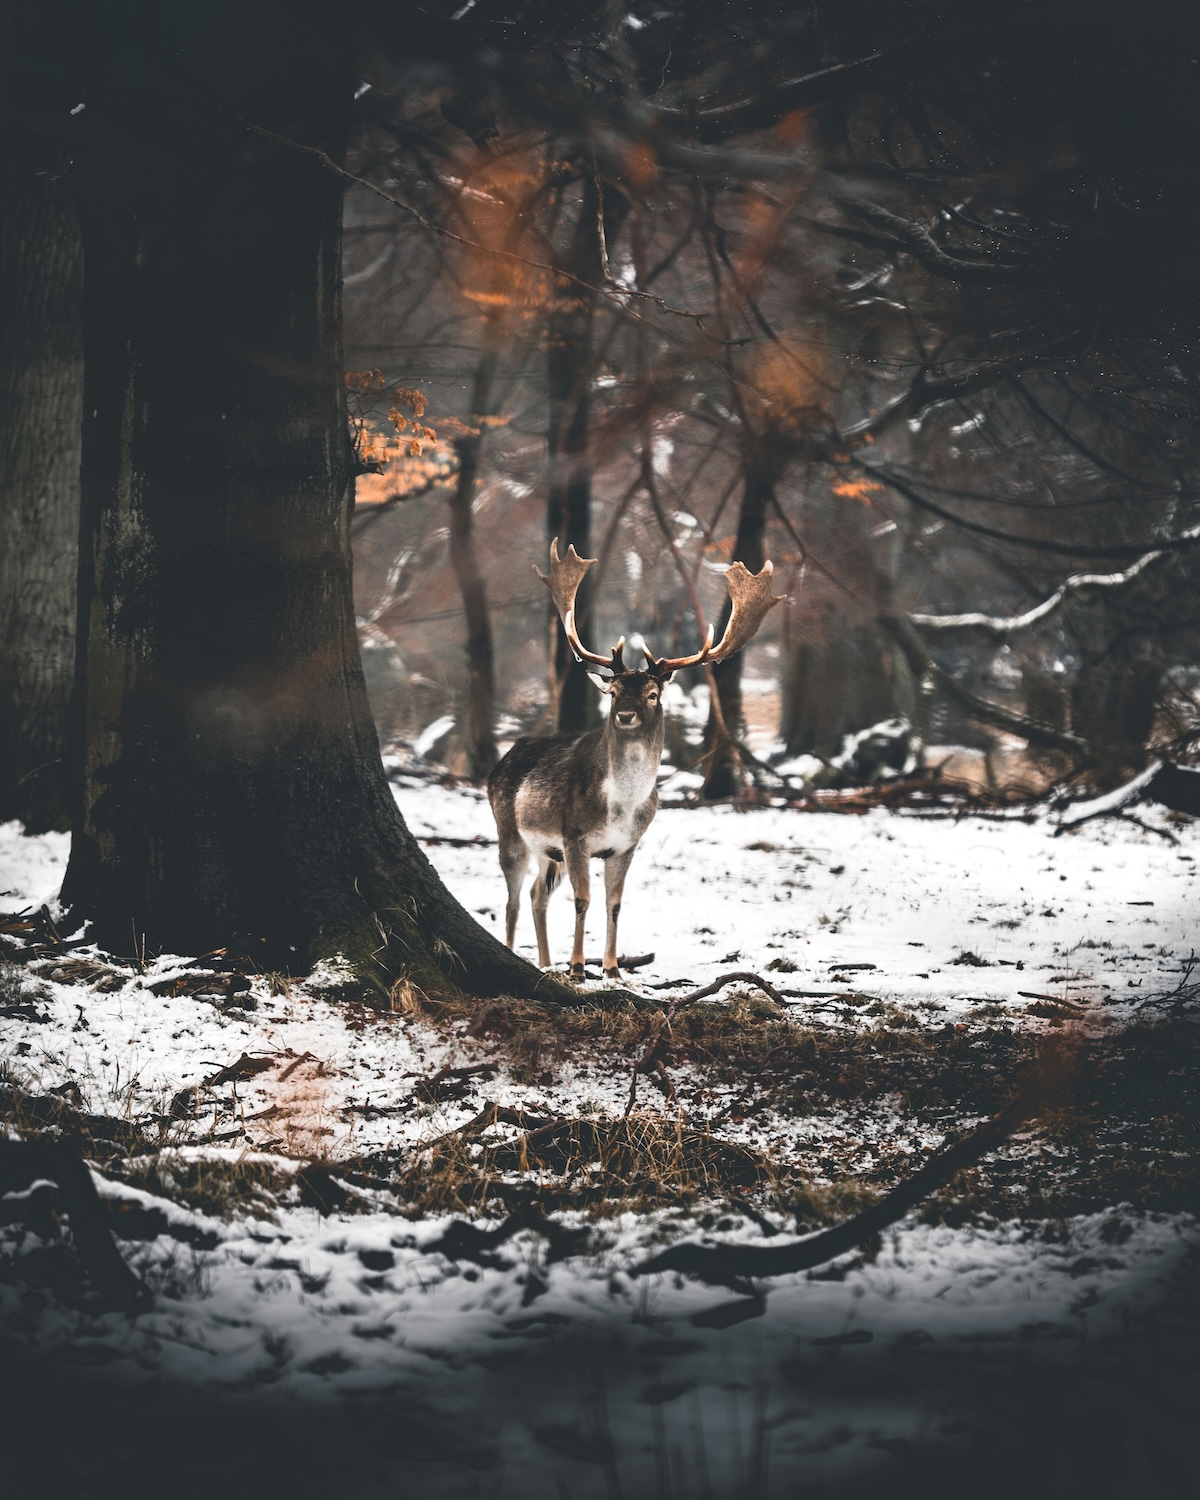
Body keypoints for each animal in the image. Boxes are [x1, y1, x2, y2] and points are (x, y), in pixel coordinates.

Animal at [487, 539, 782, 980]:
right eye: (612, 693)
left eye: (652, 694)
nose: (625, 715)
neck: (622, 805)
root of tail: (502, 759)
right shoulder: (575, 836)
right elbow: (583, 899)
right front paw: (579, 966)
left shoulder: (626, 846)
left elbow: (614, 903)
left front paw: (611, 967)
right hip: (510, 830)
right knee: (512, 898)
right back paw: (516, 953)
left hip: (547, 851)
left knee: (539, 894)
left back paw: (544, 962)